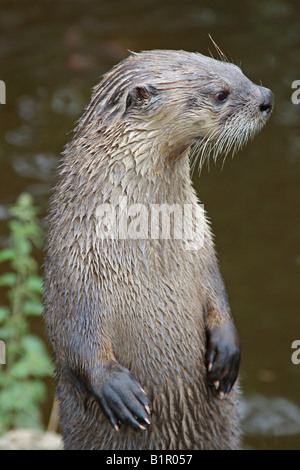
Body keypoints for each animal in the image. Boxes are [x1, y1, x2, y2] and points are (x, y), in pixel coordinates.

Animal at [42, 49, 274, 450]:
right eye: (220, 94)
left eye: (238, 70)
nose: (267, 98)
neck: (151, 248)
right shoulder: (71, 267)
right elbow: (73, 337)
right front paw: (118, 391)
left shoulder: (202, 245)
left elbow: (218, 293)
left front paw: (227, 353)